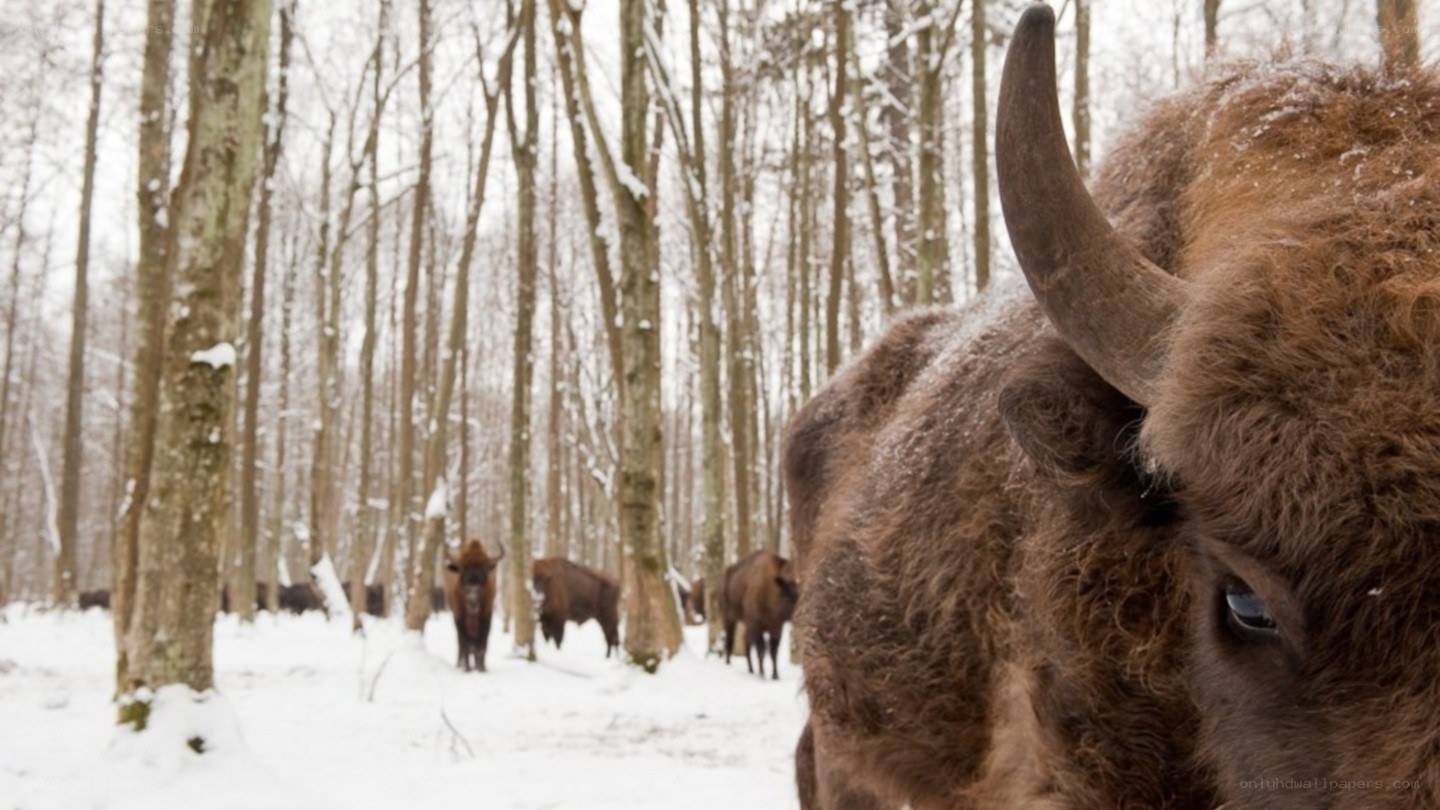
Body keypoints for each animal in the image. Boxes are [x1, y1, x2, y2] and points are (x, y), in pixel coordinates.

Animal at [444, 540, 503, 672]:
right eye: (462, 571)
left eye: (484, 571)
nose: (472, 598)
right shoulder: (459, 616)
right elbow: (464, 643)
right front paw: (467, 668)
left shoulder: (486, 615)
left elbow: (482, 645)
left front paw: (482, 669)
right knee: (461, 644)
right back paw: (461, 664)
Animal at [721, 550, 798, 680]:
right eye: (790, 596)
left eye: (799, 594)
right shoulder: (756, 626)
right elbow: (761, 650)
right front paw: (762, 674)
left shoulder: (776, 628)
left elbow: (773, 652)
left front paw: (775, 676)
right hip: (729, 617)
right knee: (730, 640)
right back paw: (728, 663)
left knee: (745, 642)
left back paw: (751, 670)